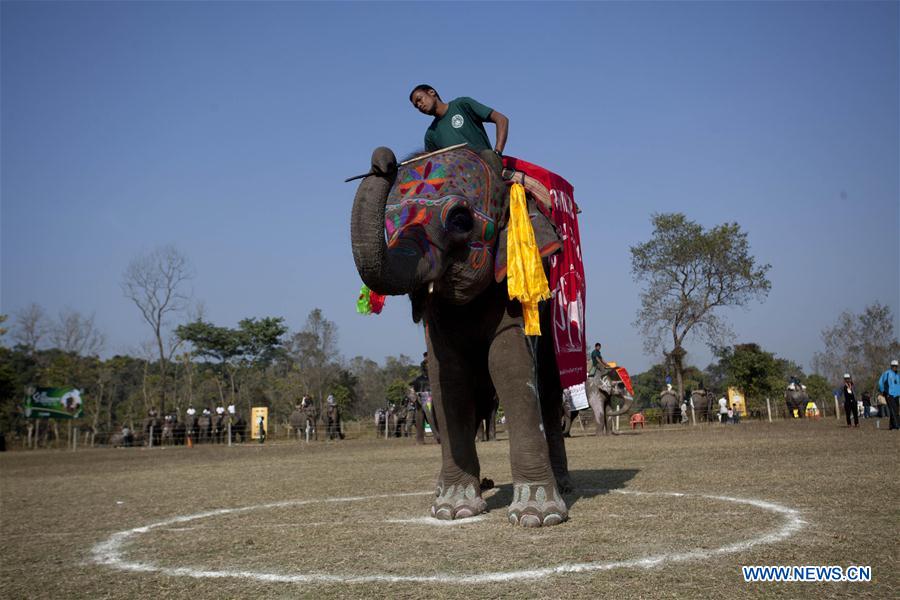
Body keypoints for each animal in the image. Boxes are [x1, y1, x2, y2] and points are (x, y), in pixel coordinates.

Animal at [350, 145, 568, 524]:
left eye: (460, 220)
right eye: (388, 225)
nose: (382, 161)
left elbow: (510, 366)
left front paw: (537, 516)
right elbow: (447, 377)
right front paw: (452, 510)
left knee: (549, 387)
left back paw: (564, 485)